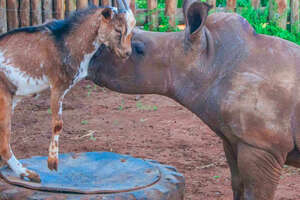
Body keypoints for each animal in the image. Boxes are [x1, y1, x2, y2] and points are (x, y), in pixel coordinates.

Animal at [0, 0, 135, 182]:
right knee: (4, 143)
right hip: (4, 97)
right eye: (118, 30)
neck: (67, 42)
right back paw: (27, 173)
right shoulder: (57, 85)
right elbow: (58, 124)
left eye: (132, 30)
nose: (126, 53)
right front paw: (52, 163)